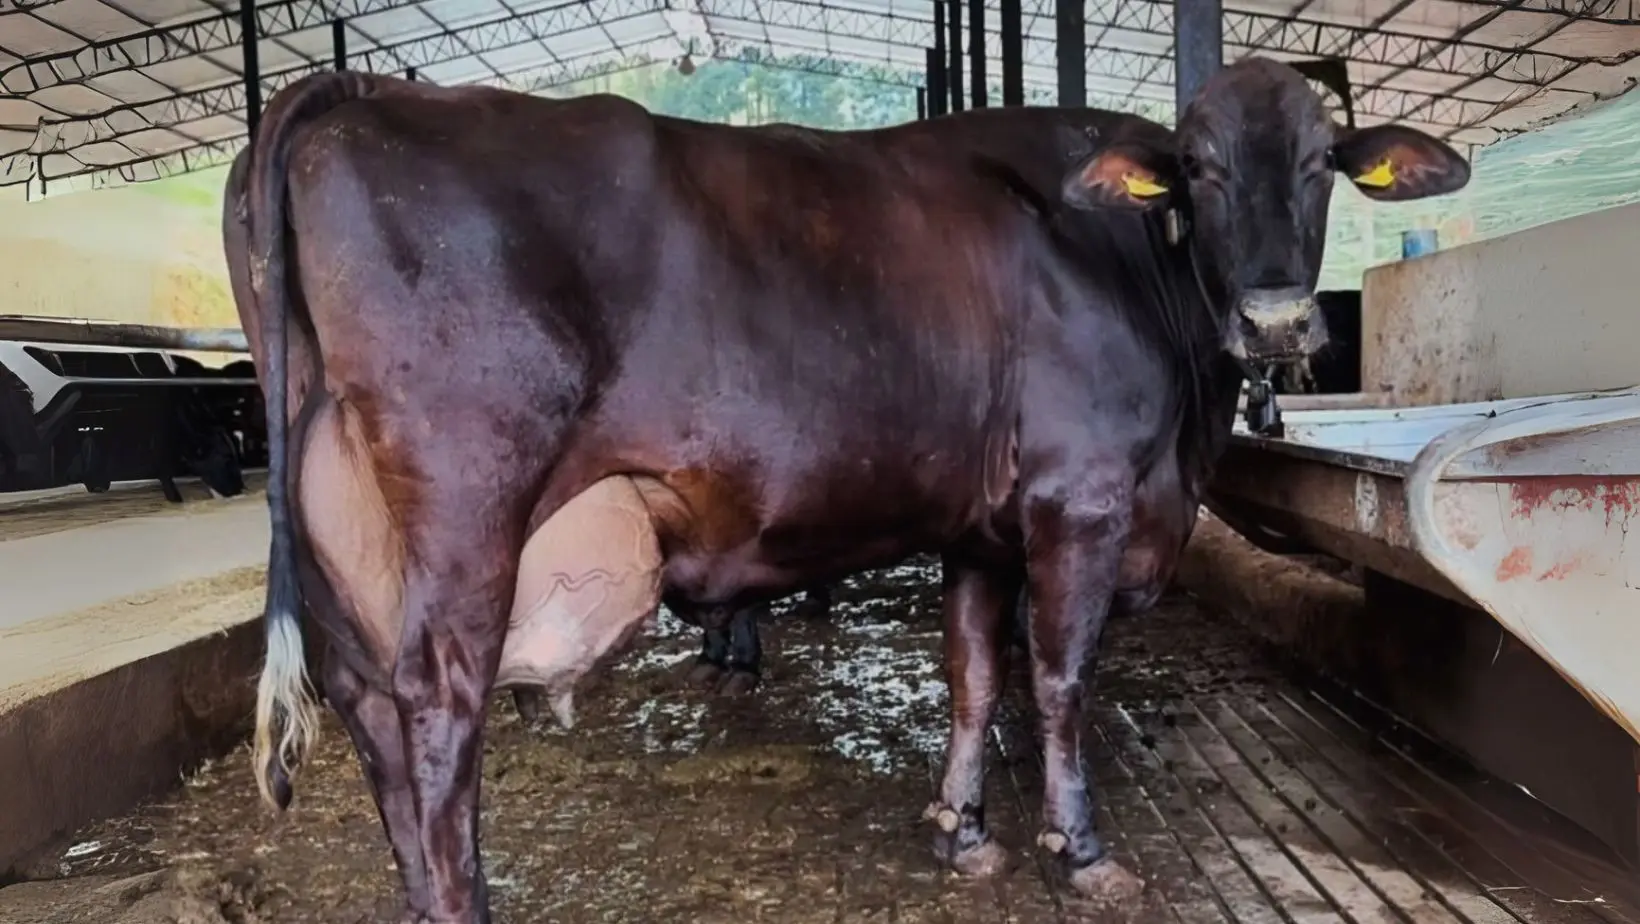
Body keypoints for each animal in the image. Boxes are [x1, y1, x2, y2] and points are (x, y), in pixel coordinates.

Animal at [226, 57, 1468, 923]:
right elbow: (1057, 679)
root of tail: (357, 88)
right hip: (466, 502)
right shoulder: (1077, 500)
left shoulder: (981, 529)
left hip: (345, 534)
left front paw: (961, 832)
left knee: (368, 705)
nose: (1276, 319)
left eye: (1320, 160)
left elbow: (970, 673)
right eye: (1197, 168)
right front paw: (1080, 851)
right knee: (437, 711)